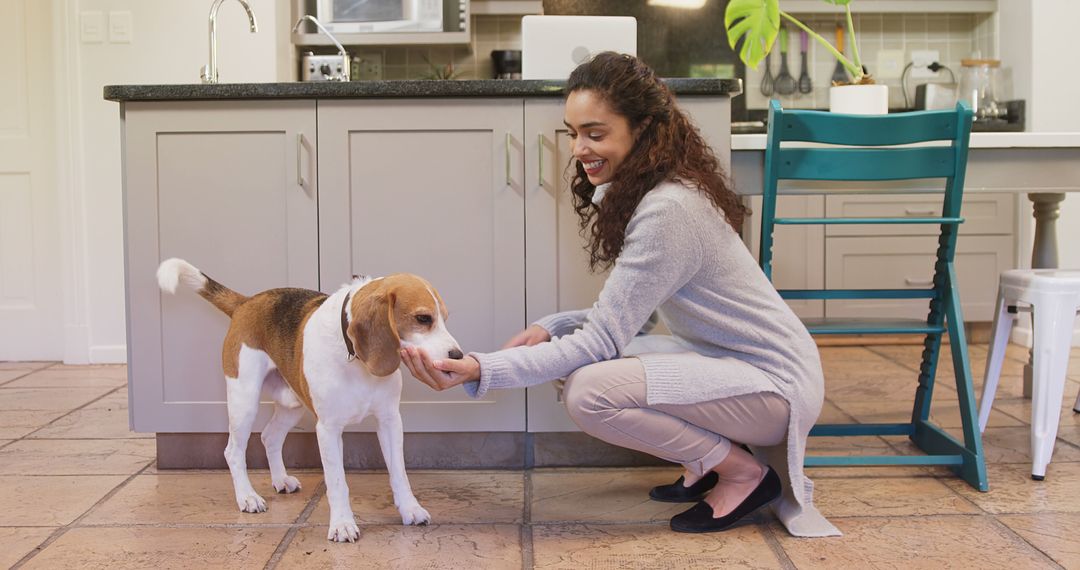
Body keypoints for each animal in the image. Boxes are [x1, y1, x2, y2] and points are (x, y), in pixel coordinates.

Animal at [156, 258, 460, 544]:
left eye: (444, 317)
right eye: (423, 318)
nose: (457, 356)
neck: (354, 357)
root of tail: (247, 302)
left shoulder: (389, 421)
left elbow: (399, 473)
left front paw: (410, 509)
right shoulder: (328, 429)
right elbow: (337, 482)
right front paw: (342, 524)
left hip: (291, 403)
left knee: (269, 436)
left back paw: (280, 480)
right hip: (244, 400)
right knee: (233, 451)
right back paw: (247, 497)